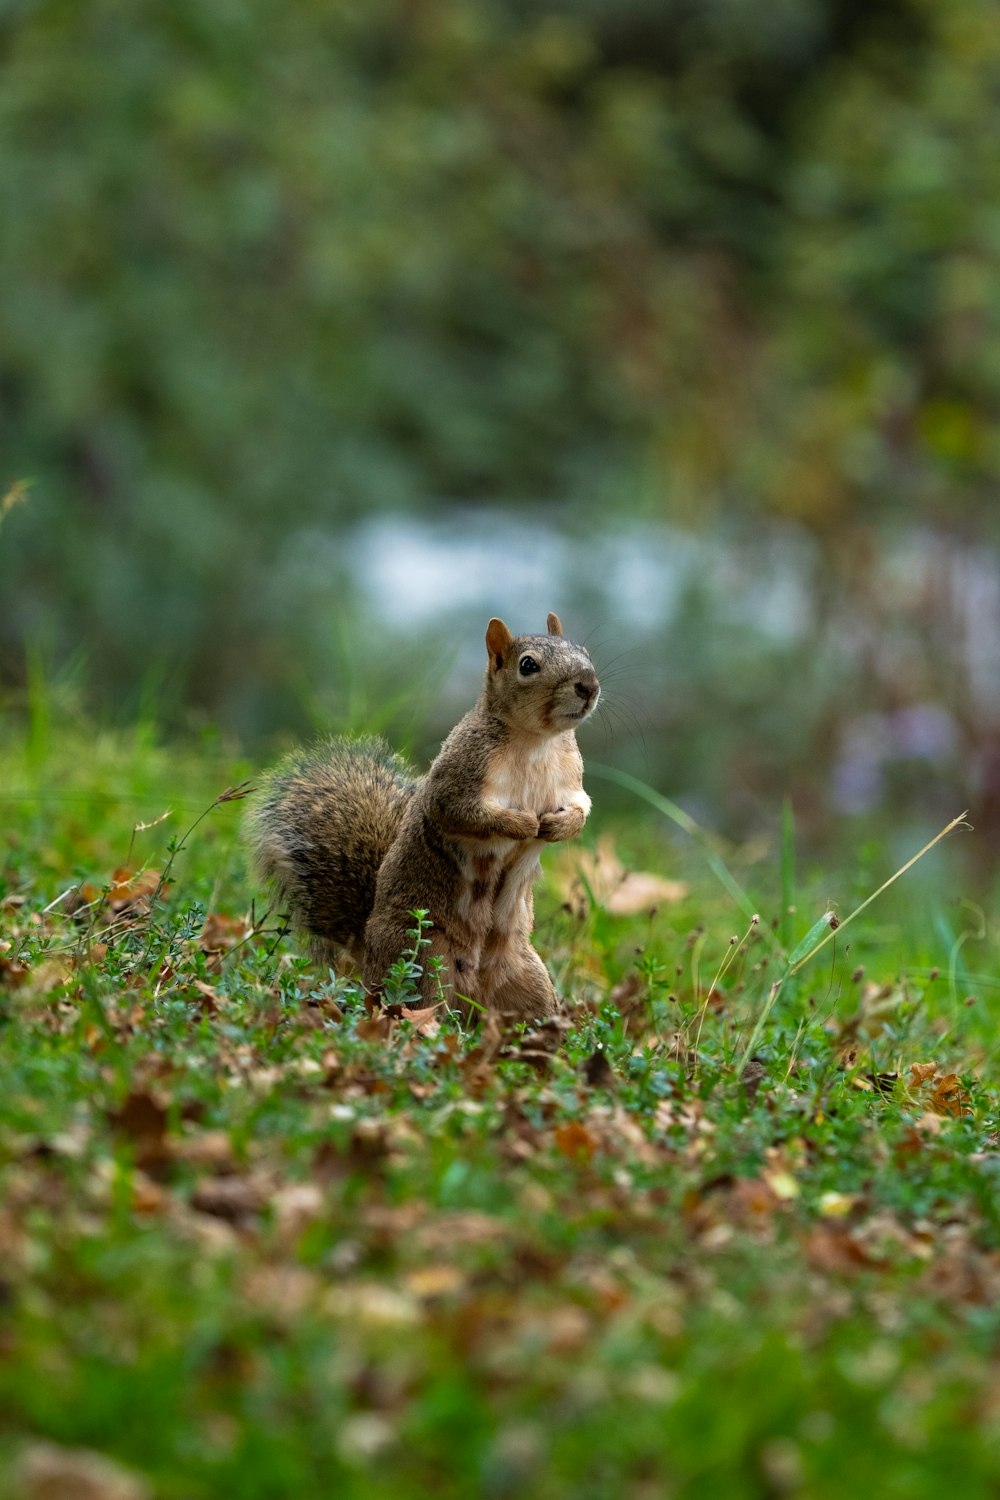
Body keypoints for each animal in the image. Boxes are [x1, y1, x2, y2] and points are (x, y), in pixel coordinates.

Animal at [245, 612, 599, 1020]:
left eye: (585, 652)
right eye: (528, 665)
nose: (589, 686)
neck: (536, 742)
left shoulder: (570, 780)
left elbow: (581, 809)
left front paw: (557, 826)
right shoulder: (457, 780)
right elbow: (461, 813)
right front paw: (523, 824)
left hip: (525, 974)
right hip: (422, 958)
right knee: (417, 1005)